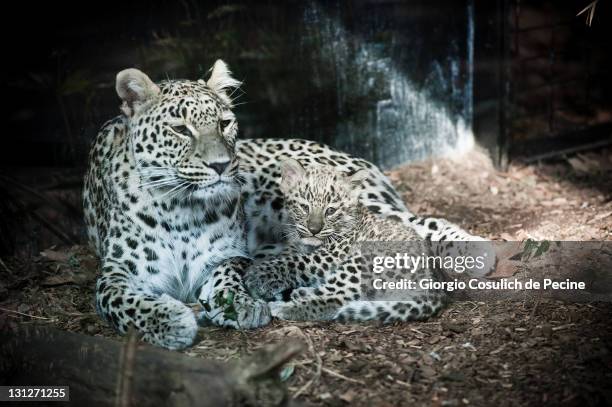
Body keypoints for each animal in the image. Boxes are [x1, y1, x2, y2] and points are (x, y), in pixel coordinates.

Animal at [83, 60, 490, 350]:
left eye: (225, 123)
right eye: (180, 129)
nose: (221, 165)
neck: (180, 209)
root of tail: (352, 156)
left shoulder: (230, 256)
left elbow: (227, 273)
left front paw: (238, 303)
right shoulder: (117, 272)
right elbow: (121, 300)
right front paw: (169, 323)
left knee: (416, 222)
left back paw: (474, 252)